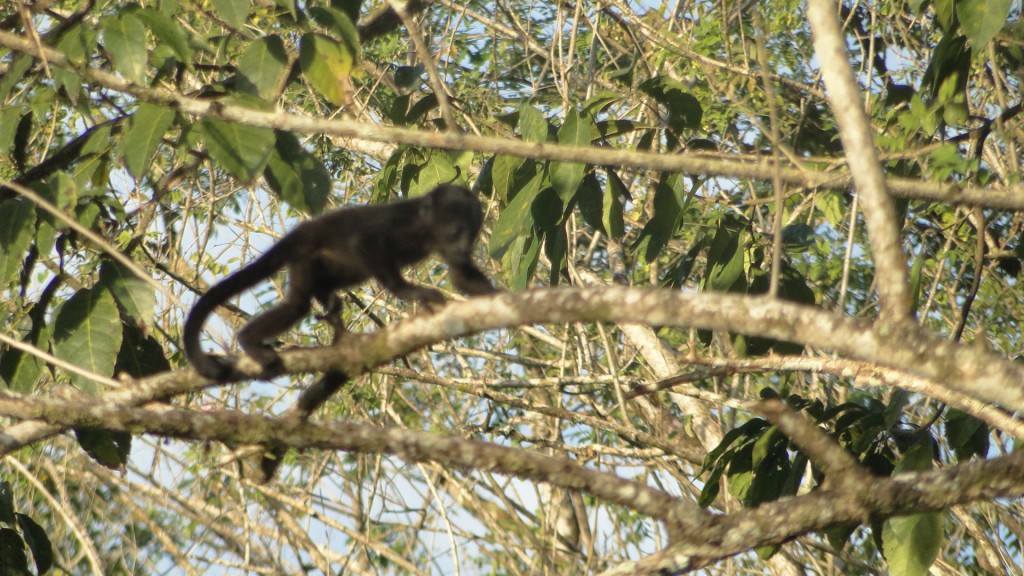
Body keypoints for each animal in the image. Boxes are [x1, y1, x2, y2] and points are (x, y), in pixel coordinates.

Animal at [184, 184, 497, 380]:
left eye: (471, 234)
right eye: (456, 230)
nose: (463, 247)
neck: (426, 227)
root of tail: (301, 232)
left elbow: (460, 274)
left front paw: (496, 295)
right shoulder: (397, 224)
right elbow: (366, 243)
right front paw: (411, 292)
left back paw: (331, 304)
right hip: (304, 256)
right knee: (297, 306)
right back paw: (249, 341)